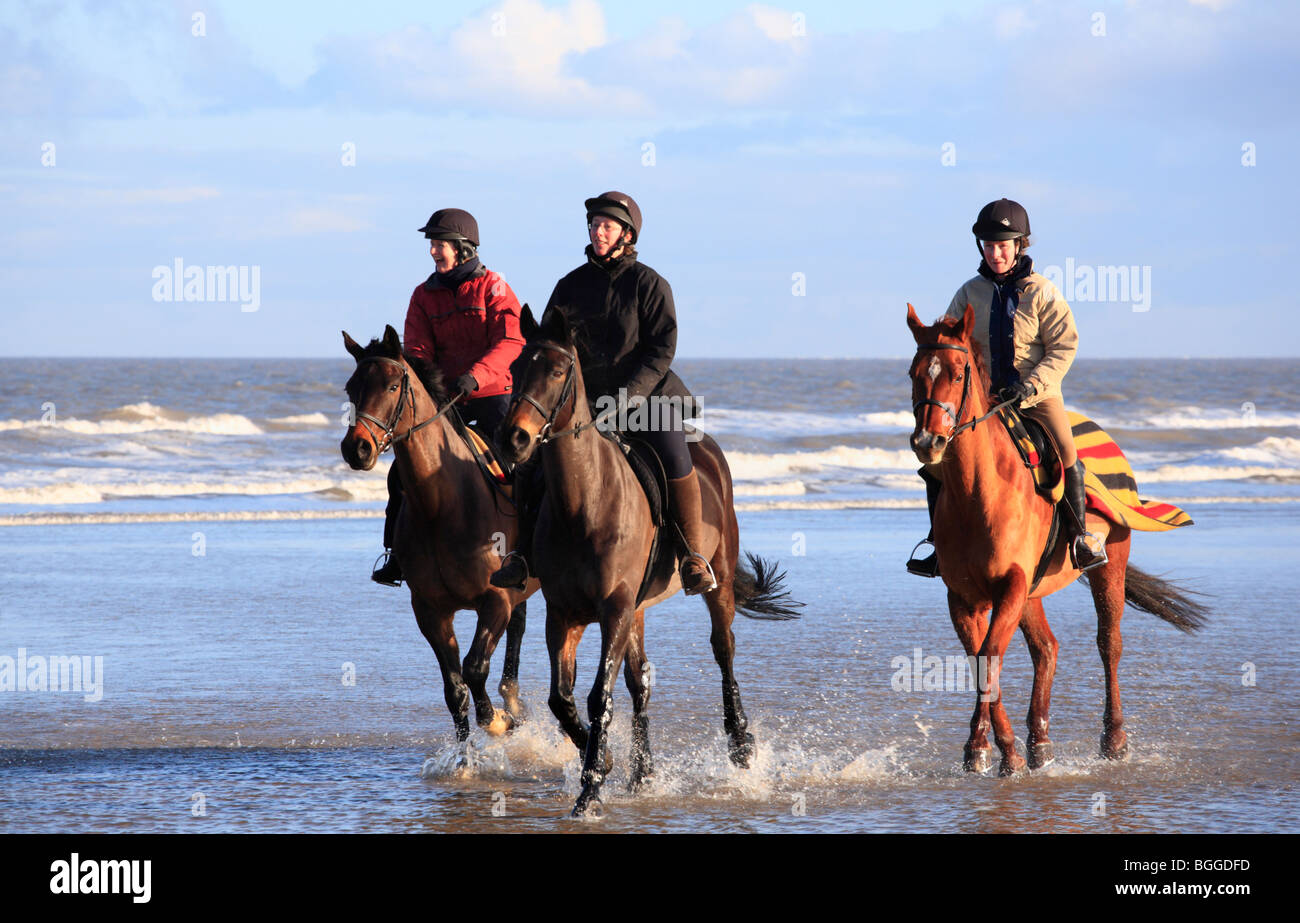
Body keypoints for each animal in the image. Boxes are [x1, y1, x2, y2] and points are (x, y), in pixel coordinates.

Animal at [340, 328, 538, 748]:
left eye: (392, 385)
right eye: (351, 387)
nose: (356, 447)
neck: (443, 504)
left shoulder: (494, 600)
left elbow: (475, 668)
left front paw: (498, 721)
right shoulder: (430, 610)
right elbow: (455, 689)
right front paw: (464, 758)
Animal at [496, 309, 800, 816]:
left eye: (556, 371)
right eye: (516, 368)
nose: (513, 439)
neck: (584, 502)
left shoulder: (614, 610)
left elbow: (599, 696)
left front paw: (591, 788)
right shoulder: (565, 614)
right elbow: (562, 699)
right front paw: (603, 760)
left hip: (715, 585)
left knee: (724, 651)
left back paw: (741, 745)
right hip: (637, 609)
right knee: (640, 685)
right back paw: (643, 773)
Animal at [904, 306, 1206, 774]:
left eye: (956, 373)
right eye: (913, 373)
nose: (927, 441)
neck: (978, 493)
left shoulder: (1010, 586)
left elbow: (991, 653)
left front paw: (989, 747)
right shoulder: (966, 597)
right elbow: (981, 660)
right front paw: (997, 748)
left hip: (1108, 568)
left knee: (1108, 645)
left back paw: (1114, 740)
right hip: (1032, 591)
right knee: (1047, 649)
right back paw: (1039, 743)